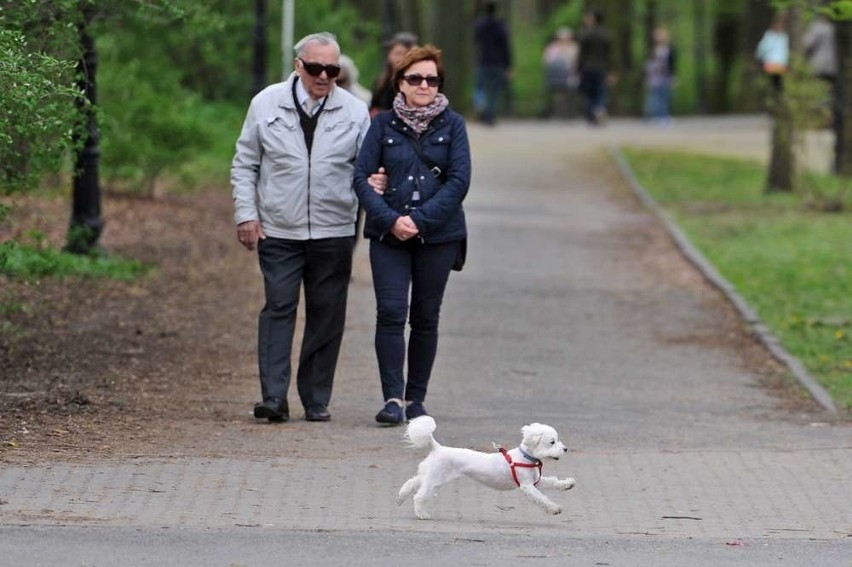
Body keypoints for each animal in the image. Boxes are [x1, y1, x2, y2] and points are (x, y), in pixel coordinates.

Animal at [396, 414, 576, 520]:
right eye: (552, 442)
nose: (566, 449)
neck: (525, 457)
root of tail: (437, 447)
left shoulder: (536, 480)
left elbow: (552, 481)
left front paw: (568, 484)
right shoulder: (527, 486)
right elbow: (541, 498)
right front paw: (554, 508)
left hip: (430, 474)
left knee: (412, 482)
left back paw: (400, 498)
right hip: (436, 478)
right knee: (420, 495)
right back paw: (422, 514)